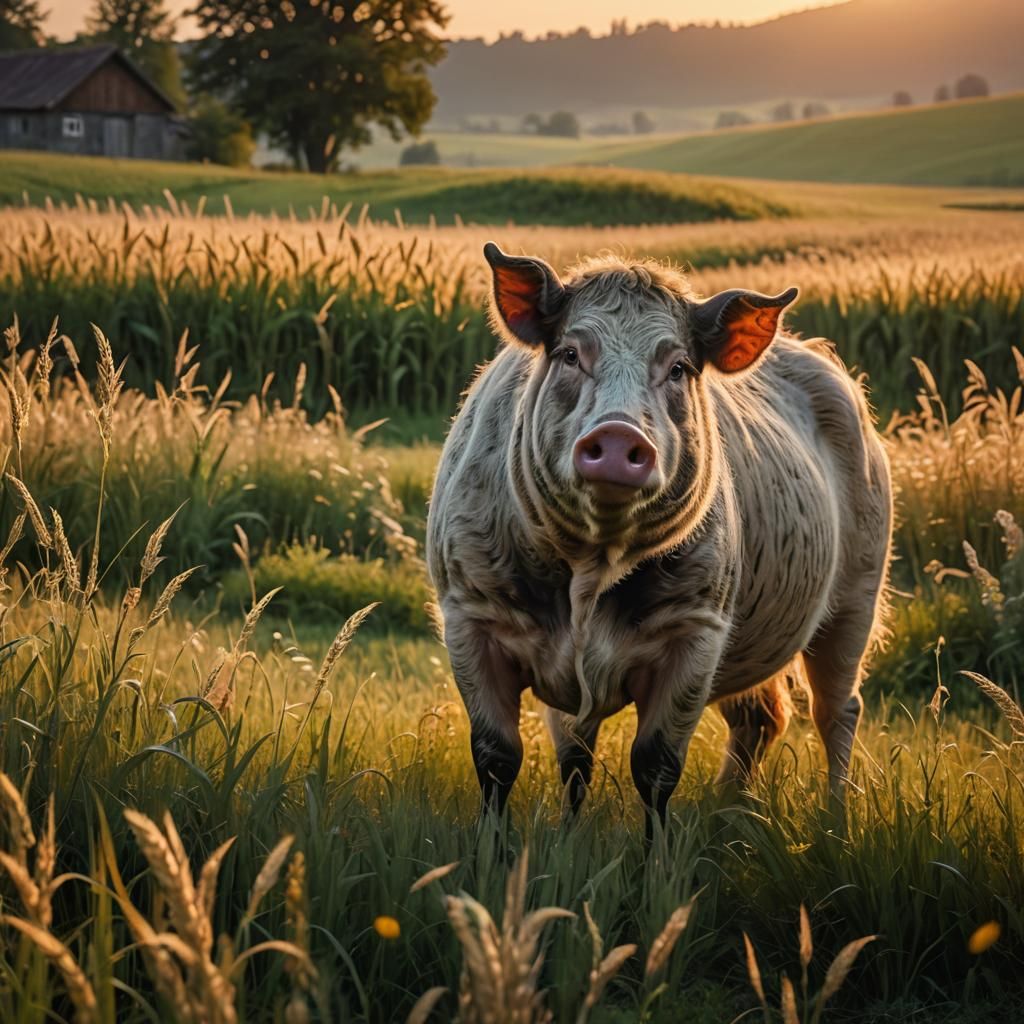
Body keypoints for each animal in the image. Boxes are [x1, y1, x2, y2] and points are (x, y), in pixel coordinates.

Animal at [426, 243, 891, 831]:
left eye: (678, 367)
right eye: (571, 354)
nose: (617, 433)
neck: (591, 570)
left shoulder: (698, 627)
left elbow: (656, 766)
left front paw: (658, 854)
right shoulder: (469, 612)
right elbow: (515, 756)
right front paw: (536, 839)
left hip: (858, 593)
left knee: (836, 708)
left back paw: (834, 821)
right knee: (759, 715)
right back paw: (727, 810)